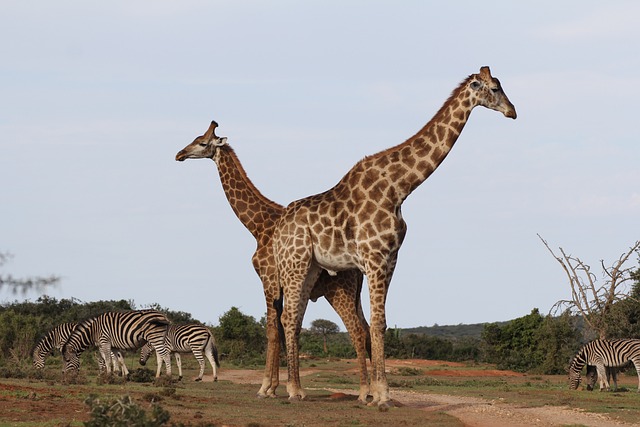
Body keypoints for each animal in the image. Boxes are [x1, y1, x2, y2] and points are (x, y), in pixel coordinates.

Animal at [175, 122, 376, 402]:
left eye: (202, 143)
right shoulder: (282, 286)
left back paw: (364, 392)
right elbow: (286, 329)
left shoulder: (268, 279)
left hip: (339, 291)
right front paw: (278, 387)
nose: (179, 154)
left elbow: (272, 330)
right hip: (354, 293)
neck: (258, 227)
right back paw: (375, 391)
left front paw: (266, 388)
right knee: (367, 331)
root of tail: (357, 267)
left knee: (357, 331)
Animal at [272, 67, 516, 408]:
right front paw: (383, 396)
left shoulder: (391, 259)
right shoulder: (374, 258)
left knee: (292, 319)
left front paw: (377, 393)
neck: (398, 188)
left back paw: (298, 388)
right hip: (294, 265)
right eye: (494, 88)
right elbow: (376, 324)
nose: (512, 111)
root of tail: (278, 230)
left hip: (311, 268)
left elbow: (381, 323)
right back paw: (294, 391)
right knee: (289, 317)